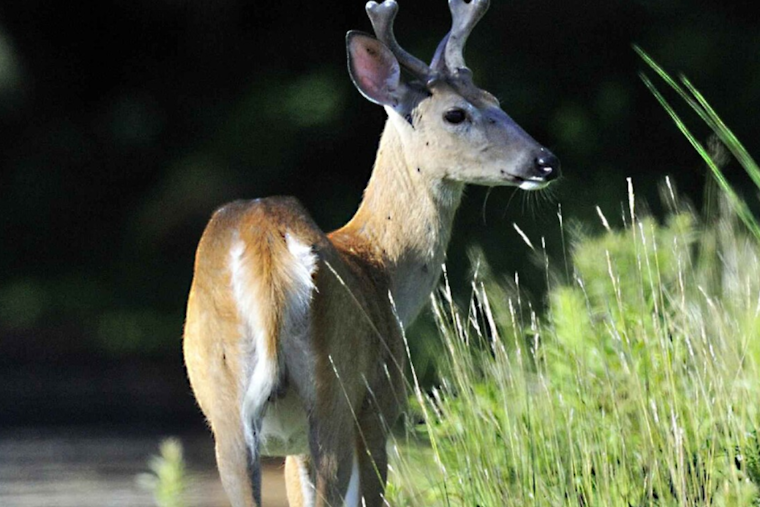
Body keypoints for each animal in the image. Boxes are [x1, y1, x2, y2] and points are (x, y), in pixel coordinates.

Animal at [183, 0, 559, 505]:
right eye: (455, 114)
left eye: (494, 99)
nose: (545, 161)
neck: (380, 268)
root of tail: (267, 253)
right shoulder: (380, 403)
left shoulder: (291, 448)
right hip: (334, 393)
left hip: (227, 408)